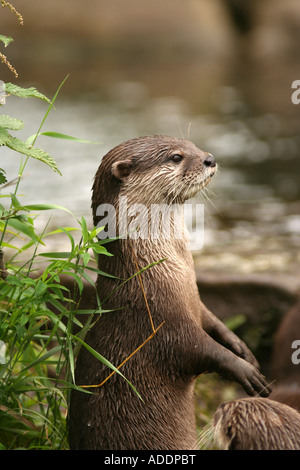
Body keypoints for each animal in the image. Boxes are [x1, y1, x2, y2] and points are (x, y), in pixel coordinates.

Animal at [69, 134, 270, 450]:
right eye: (176, 157)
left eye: (193, 145)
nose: (210, 158)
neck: (151, 274)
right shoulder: (159, 321)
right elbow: (198, 350)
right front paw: (244, 370)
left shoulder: (195, 300)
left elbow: (212, 320)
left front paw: (241, 348)